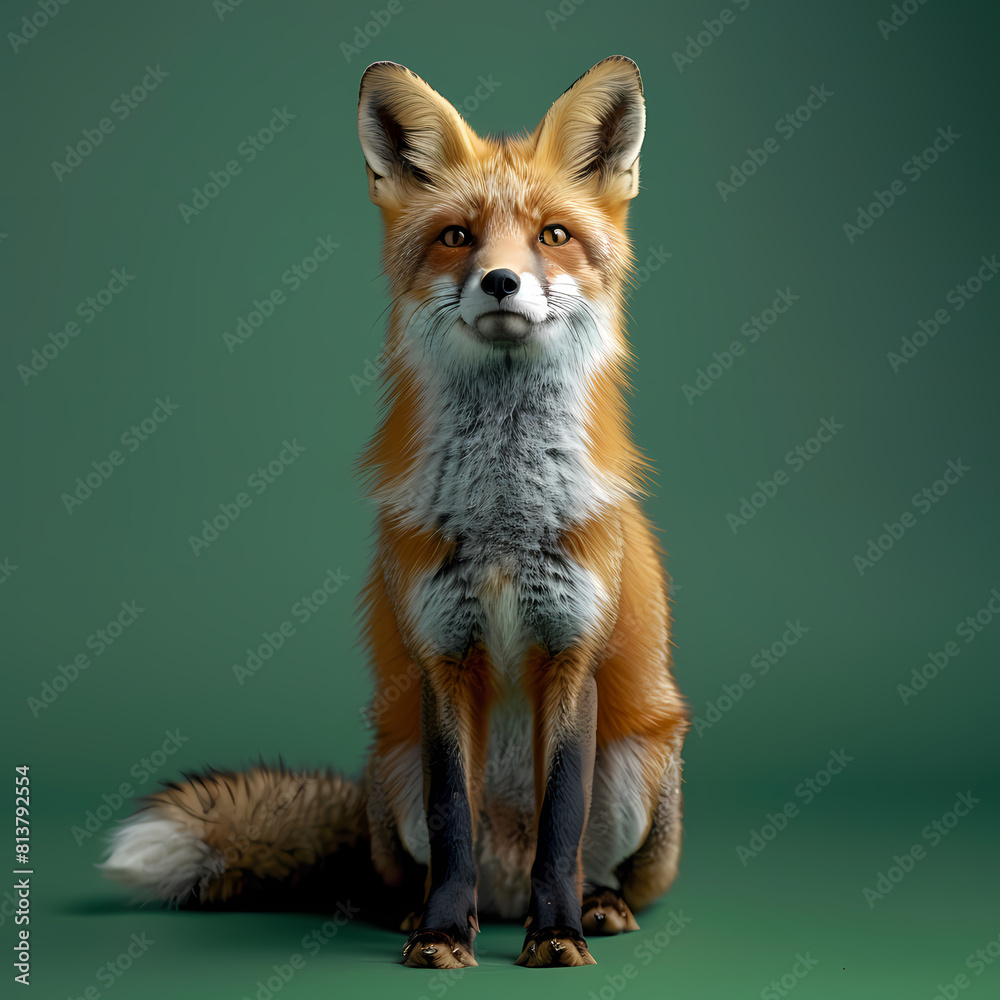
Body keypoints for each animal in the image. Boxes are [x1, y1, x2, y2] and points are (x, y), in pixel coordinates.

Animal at [100, 55, 689, 970]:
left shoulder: (571, 652)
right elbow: (452, 822)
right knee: (424, 866)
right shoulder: (440, 655)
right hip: (396, 766)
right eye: (457, 237)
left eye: (553, 236)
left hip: (637, 765)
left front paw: (556, 936)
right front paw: (442, 935)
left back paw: (595, 905)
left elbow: (562, 823)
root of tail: (505, 888)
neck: (504, 520)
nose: (501, 280)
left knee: (593, 861)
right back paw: (425, 910)